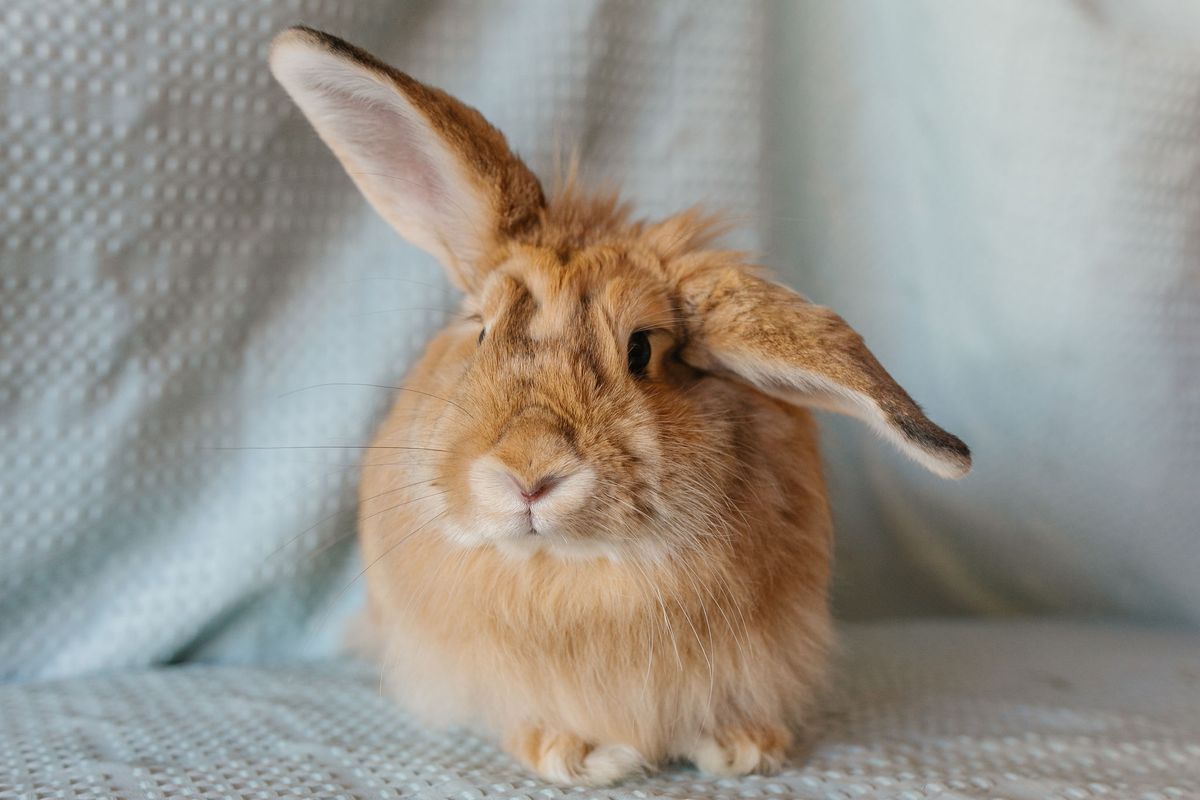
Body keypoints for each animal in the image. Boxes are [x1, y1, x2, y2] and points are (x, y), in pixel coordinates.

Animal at [267, 26, 969, 786]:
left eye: (641, 351)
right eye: (479, 332)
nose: (528, 473)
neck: (574, 570)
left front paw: (743, 748)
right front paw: (578, 753)